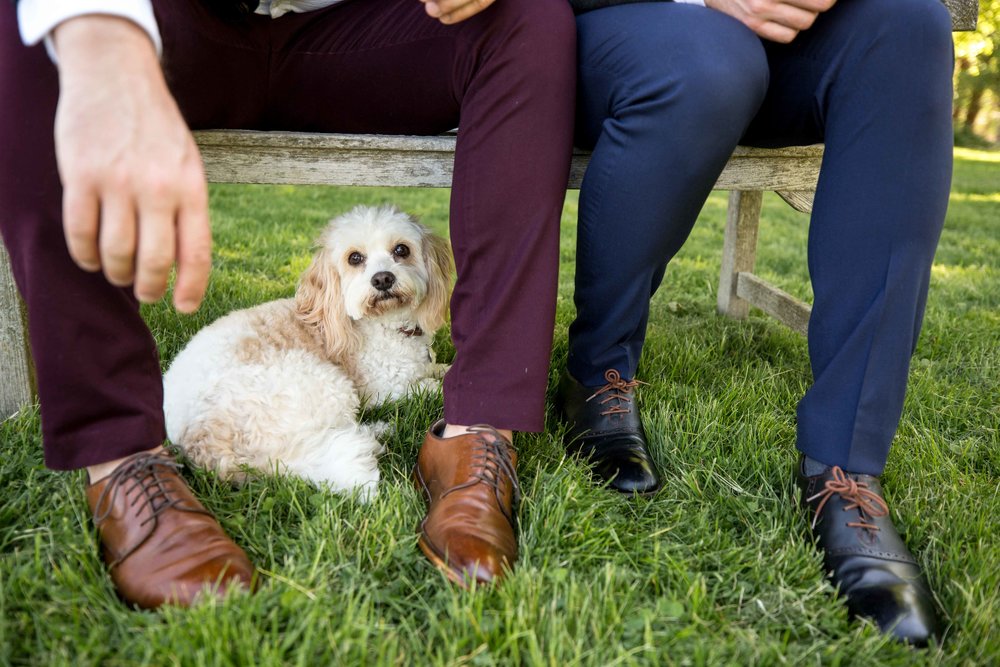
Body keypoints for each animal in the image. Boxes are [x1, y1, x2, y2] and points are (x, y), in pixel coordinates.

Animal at [164, 206, 454, 498]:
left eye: (401, 250)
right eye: (355, 258)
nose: (383, 278)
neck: (389, 324)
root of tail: (201, 442)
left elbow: (441, 368)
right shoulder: (383, 389)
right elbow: (429, 388)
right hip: (321, 384)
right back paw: (378, 432)